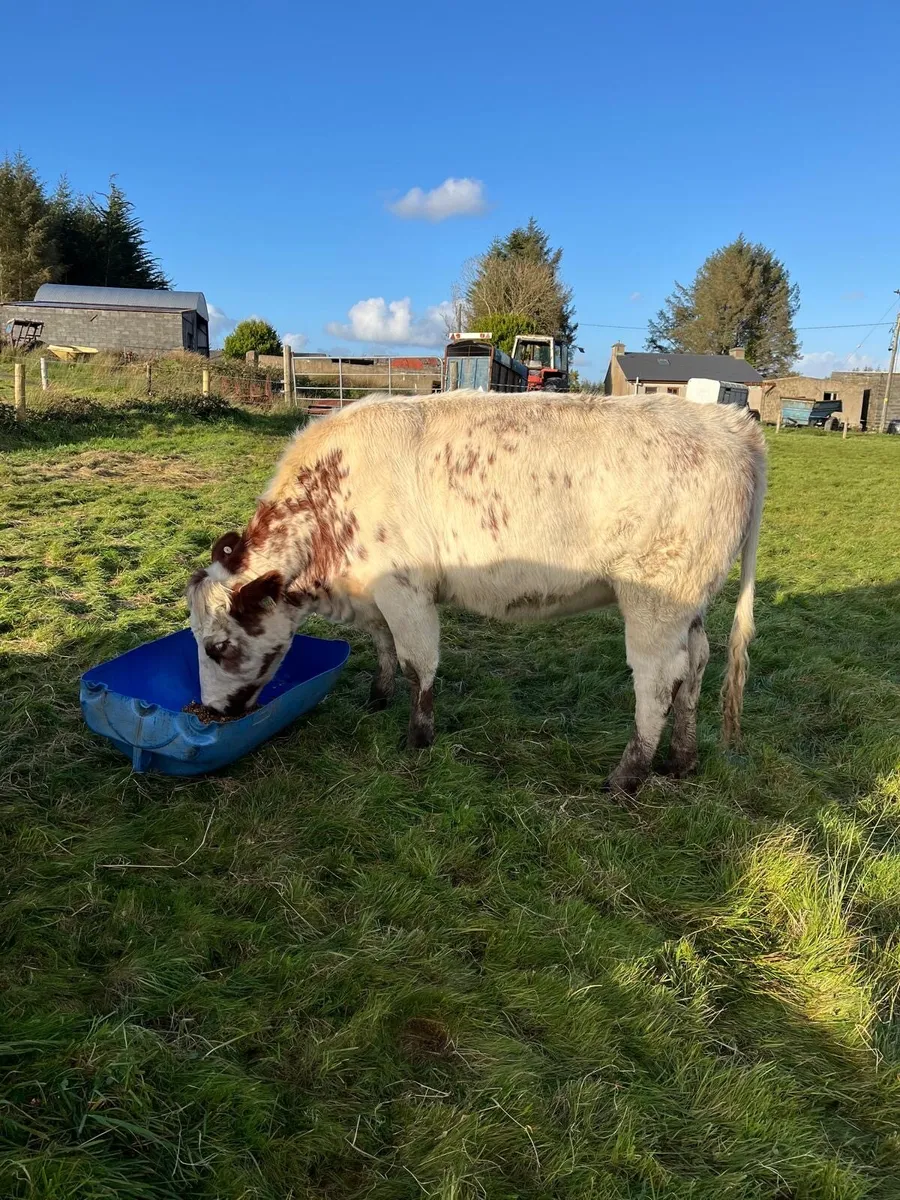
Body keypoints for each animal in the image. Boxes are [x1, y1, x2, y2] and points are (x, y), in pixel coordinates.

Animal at [186, 390, 766, 795]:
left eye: (218, 646)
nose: (210, 711)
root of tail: (732, 425)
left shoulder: (405, 589)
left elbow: (419, 663)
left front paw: (417, 737)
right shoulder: (375, 596)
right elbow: (384, 646)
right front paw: (377, 697)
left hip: (655, 601)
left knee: (658, 681)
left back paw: (628, 776)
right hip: (690, 605)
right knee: (696, 665)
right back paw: (681, 760)